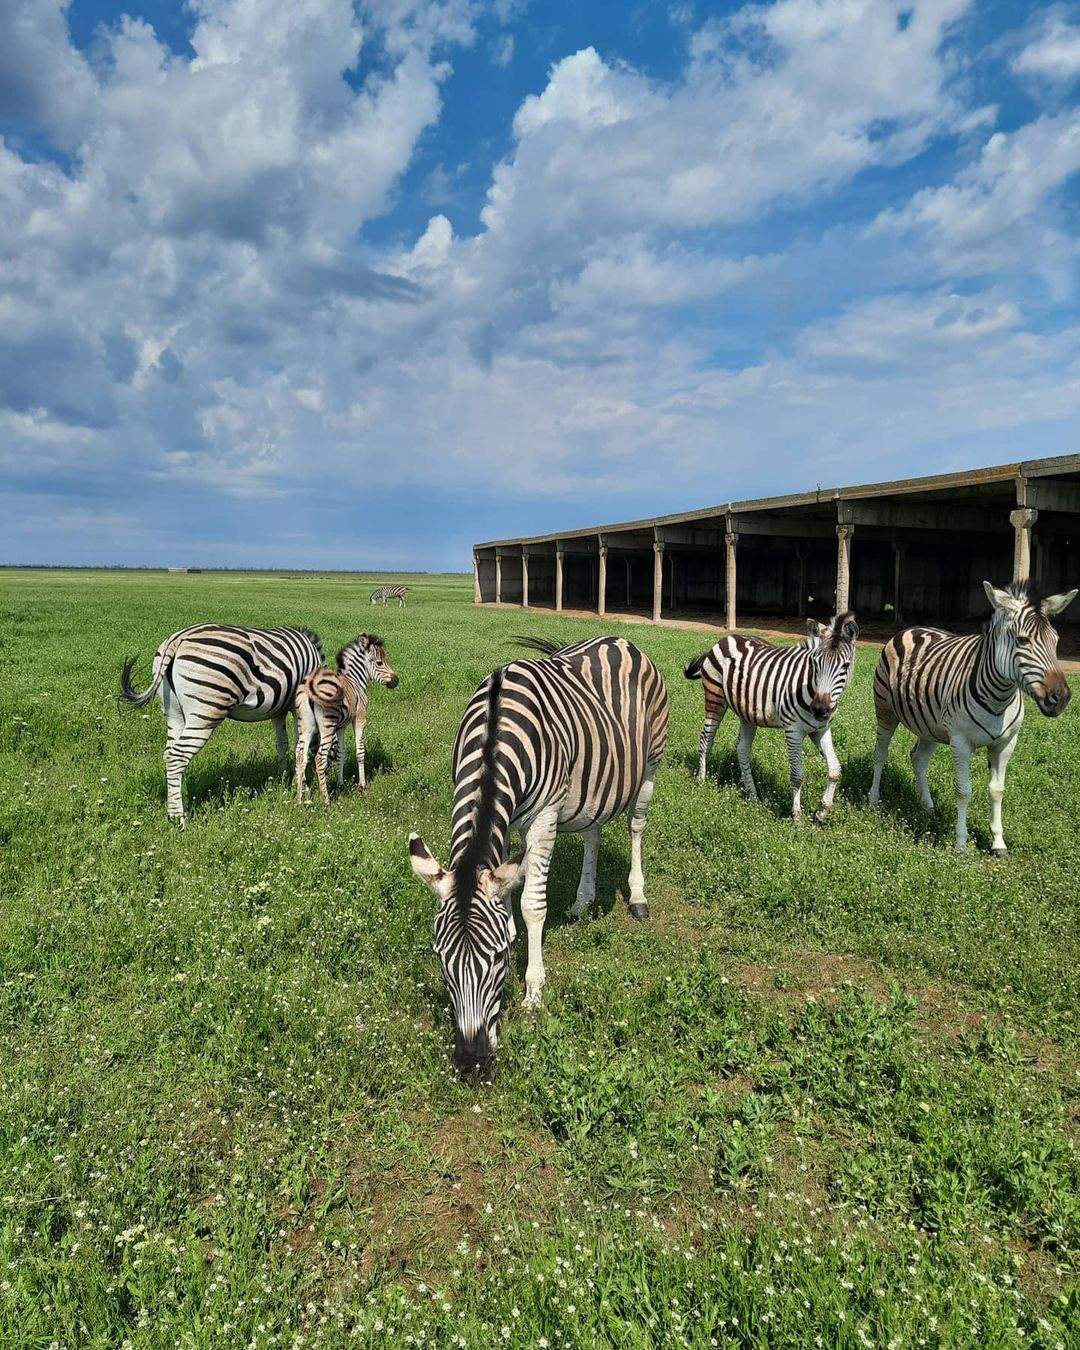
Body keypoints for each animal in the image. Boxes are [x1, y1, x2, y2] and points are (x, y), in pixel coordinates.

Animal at [120, 623, 325, 820]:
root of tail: (177, 639)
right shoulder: (300, 705)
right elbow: (301, 746)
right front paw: (303, 789)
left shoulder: (279, 710)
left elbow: (282, 744)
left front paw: (284, 779)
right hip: (205, 711)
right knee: (176, 757)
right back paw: (178, 819)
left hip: (173, 712)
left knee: (168, 753)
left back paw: (178, 800)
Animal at [292, 631, 399, 799]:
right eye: (380, 663)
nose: (396, 681)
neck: (355, 680)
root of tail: (310, 687)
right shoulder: (360, 717)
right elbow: (360, 751)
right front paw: (362, 785)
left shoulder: (341, 726)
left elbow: (341, 753)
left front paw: (340, 784)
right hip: (326, 726)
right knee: (319, 759)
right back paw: (326, 800)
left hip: (305, 726)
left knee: (300, 756)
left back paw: (300, 798)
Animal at [410, 634, 669, 1074]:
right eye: (440, 958)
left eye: (497, 959)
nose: (472, 1061)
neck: (494, 734)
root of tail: (617, 639)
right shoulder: (508, 819)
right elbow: (507, 888)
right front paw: (514, 932)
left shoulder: (545, 816)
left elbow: (533, 904)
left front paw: (532, 991)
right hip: (595, 785)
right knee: (593, 831)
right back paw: (583, 902)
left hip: (650, 765)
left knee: (636, 826)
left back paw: (637, 897)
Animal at [683, 615, 858, 820]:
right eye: (815, 663)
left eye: (845, 665)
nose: (819, 709)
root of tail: (726, 638)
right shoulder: (793, 731)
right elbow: (797, 775)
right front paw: (797, 816)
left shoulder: (821, 730)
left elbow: (835, 770)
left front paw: (823, 811)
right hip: (715, 697)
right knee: (706, 738)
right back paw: (701, 779)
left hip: (747, 713)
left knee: (742, 749)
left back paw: (753, 795)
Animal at [874, 580, 1074, 853]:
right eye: (1022, 641)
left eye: (1056, 641)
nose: (1061, 698)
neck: (999, 697)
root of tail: (913, 628)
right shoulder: (960, 742)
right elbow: (963, 791)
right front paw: (960, 843)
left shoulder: (1006, 743)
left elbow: (997, 790)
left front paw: (998, 843)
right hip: (885, 711)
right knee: (881, 753)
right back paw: (873, 799)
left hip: (930, 725)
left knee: (918, 758)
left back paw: (928, 806)